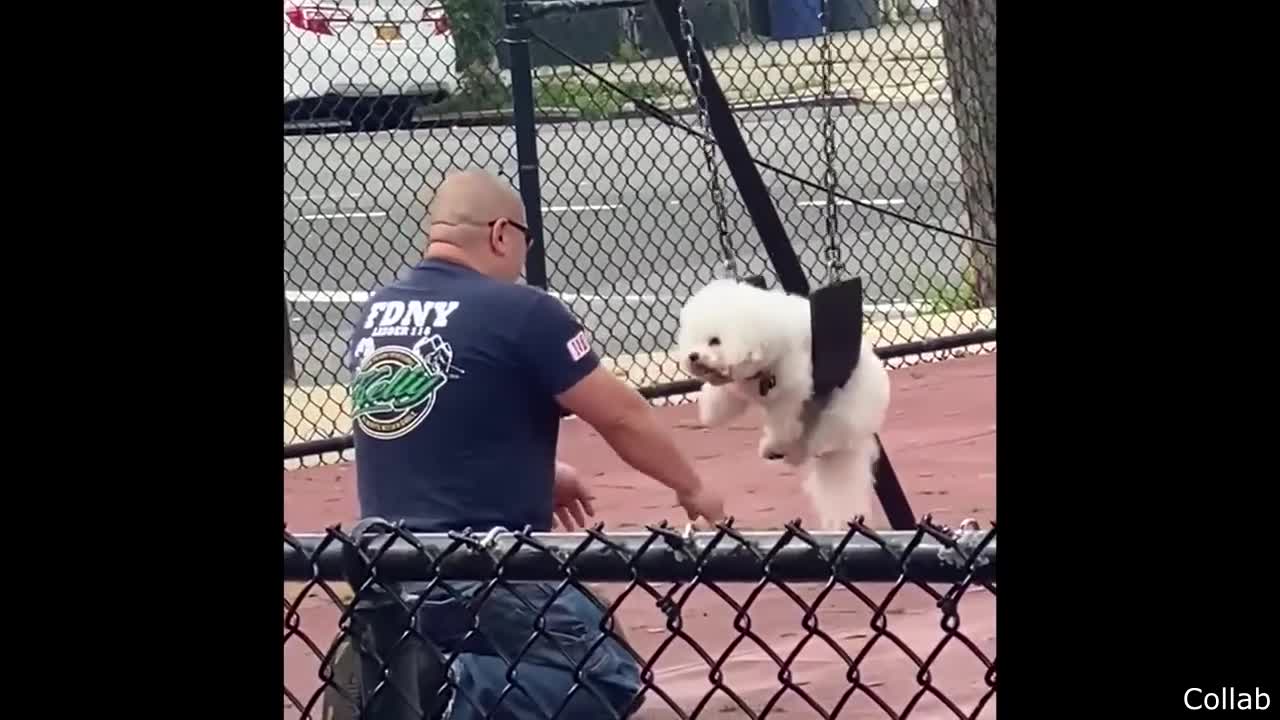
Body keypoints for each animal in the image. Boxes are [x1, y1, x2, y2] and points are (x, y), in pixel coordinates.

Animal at [680, 278, 890, 530]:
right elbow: (726, 396)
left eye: (715, 341)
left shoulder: (790, 391)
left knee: (817, 438)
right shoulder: (742, 385)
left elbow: (782, 421)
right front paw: (711, 411)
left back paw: (784, 449)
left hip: (843, 412)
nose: (693, 356)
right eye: (693, 339)